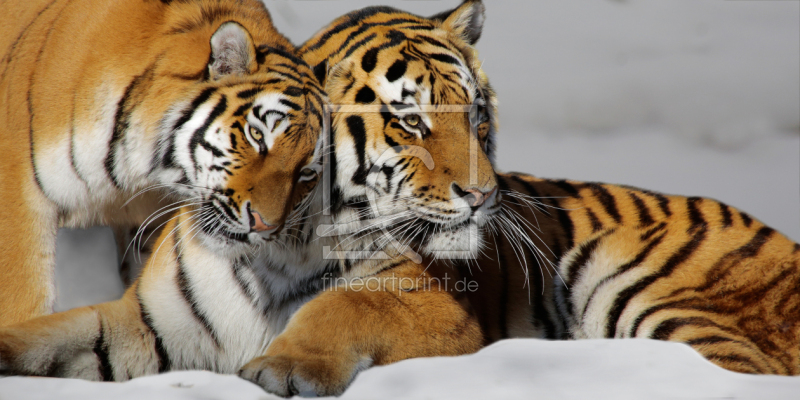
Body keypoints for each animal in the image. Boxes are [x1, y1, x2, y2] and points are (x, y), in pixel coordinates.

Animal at [0, 0, 324, 324]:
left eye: (306, 173)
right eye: (256, 135)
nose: (265, 226)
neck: (142, 177)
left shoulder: (147, 225)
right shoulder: (20, 207)